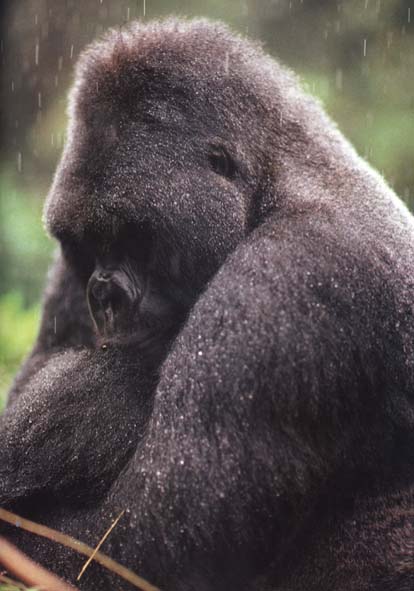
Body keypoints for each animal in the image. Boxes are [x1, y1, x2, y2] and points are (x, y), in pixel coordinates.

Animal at [0, 18, 414, 591]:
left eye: (135, 237)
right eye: (89, 244)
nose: (104, 297)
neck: (275, 180)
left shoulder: (290, 282)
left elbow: (137, 549)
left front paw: (93, 404)